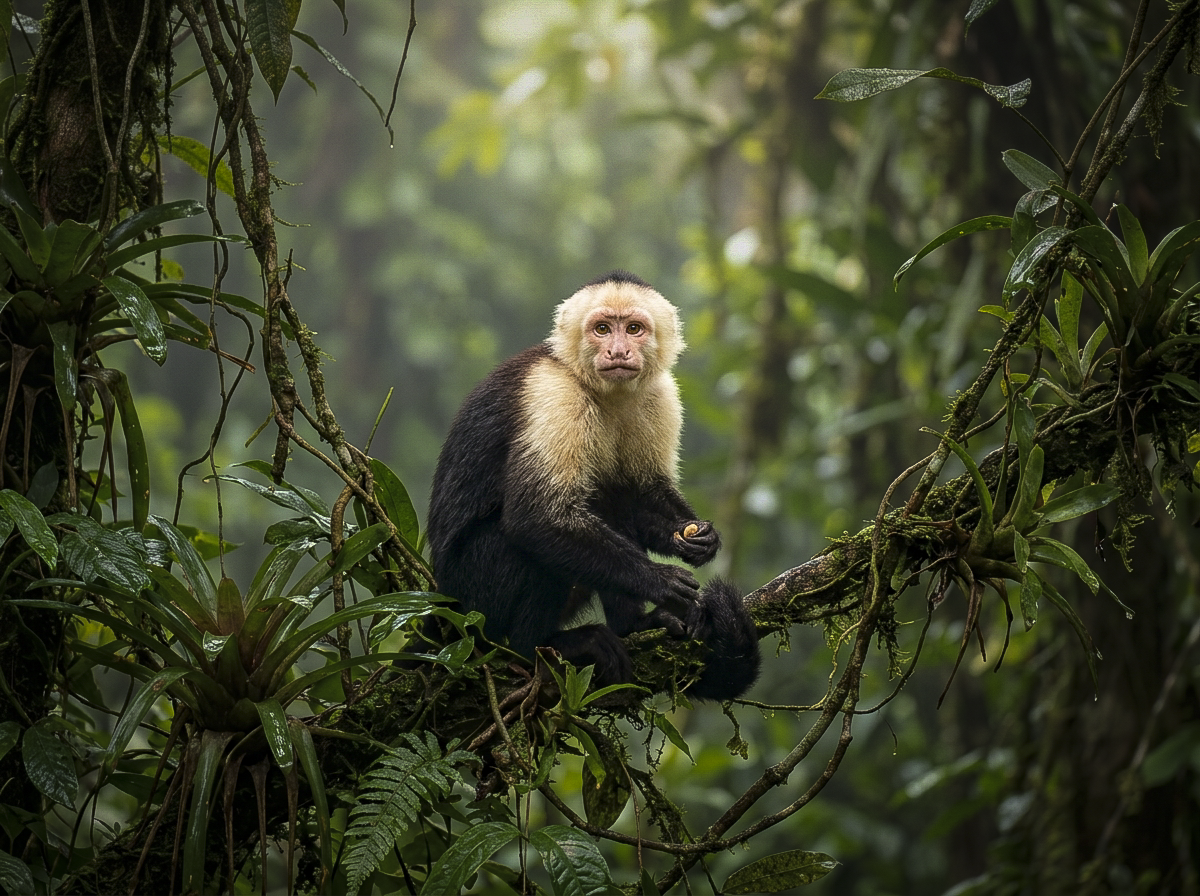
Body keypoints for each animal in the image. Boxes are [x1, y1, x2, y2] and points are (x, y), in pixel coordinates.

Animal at [426, 270, 760, 700]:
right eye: (602, 329)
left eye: (633, 329)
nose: (618, 351)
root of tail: (441, 601)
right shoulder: (553, 395)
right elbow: (535, 517)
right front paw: (658, 579)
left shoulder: (661, 395)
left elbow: (642, 493)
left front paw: (697, 539)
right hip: (469, 602)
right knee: (520, 549)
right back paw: (537, 648)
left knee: (610, 500)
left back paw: (635, 626)